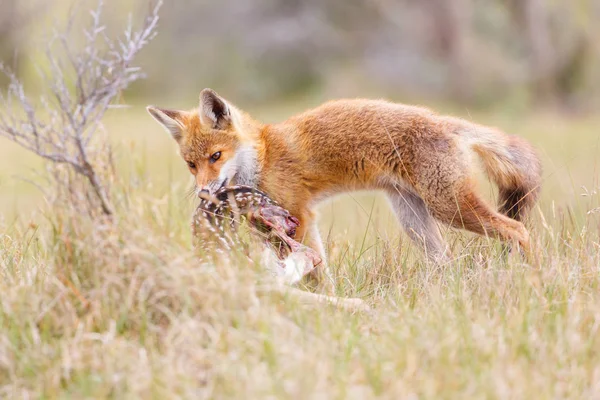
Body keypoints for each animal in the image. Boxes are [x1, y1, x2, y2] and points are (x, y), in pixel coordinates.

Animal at [148, 89, 540, 286]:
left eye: (215, 156)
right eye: (191, 164)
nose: (204, 192)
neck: (263, 158)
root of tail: (443, 121)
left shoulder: (300, 215)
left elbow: (314, 267)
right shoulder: (266, 225)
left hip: (449, 207)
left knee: (518, 229)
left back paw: (533, 277)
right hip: (414, 218)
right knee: (446, 260)